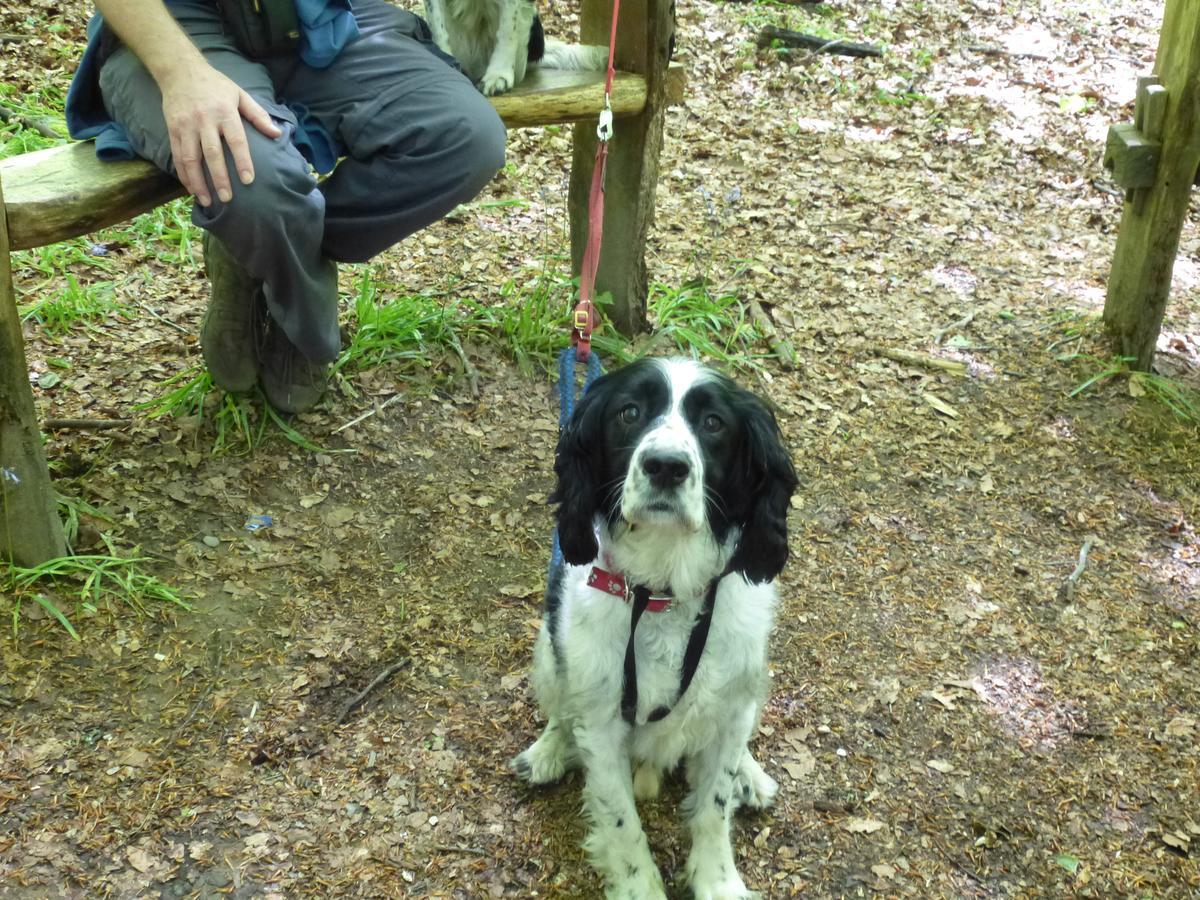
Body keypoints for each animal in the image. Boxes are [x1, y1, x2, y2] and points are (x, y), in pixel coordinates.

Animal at [508, 360, 796, 900]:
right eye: (630, 412)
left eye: (713, 423)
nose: (665, 466)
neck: (666, 591)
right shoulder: (602, 722)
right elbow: (622, 822)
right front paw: (639, 886)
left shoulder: (731, 695)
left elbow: (714, 805)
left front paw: (718, 881)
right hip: (549, 649)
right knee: (561, 709)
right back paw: (548, 750)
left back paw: (750, 775)